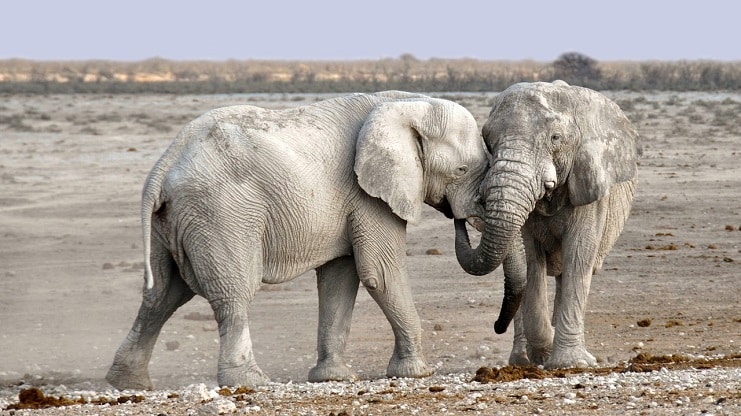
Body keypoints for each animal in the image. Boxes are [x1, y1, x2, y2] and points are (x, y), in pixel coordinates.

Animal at [106, 91, 491, 390]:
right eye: (461, 171)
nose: (460, 218)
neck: (407, 103)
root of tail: (164, 164)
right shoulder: (369, 195)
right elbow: (380, 273)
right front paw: (417, 372)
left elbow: (340, 278)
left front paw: (333, 378)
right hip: (221, 213)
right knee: (233, 292)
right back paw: (250, 382)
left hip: (173, 221)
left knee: (162, 295)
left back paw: (128, 383)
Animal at [455, 81, 641, 369]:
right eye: (488, 141)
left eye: (555, 138)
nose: (461, 217)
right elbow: (531, 260)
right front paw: (545, 353)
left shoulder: (589, 184)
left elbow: (579, 255)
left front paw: (571, 364)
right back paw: (522, 361)